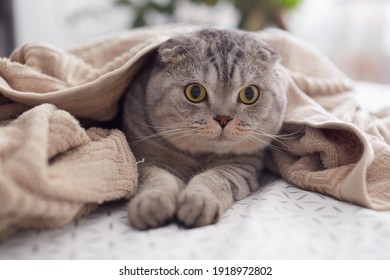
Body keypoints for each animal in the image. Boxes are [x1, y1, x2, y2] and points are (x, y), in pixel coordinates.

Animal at [122, 27, 286, 230]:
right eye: (195, 92)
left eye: (249, 94)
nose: (223, 118)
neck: (201, 154)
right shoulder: (146, 158)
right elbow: (157, 179)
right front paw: (152, 202)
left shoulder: (242, 164)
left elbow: (214, 178)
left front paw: (198, 201)